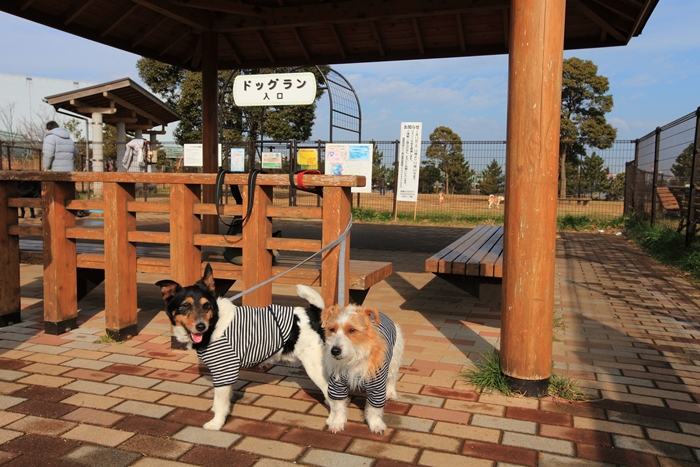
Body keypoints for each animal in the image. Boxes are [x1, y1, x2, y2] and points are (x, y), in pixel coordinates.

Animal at [159, 264, 330, 432]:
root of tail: (313, 313)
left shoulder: (223, 370)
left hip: (315, 368)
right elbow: (224, 399)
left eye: (206, 305)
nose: (201, 326)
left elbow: (220, 402)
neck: (215, 323)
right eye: (185, 305)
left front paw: (217, 422)